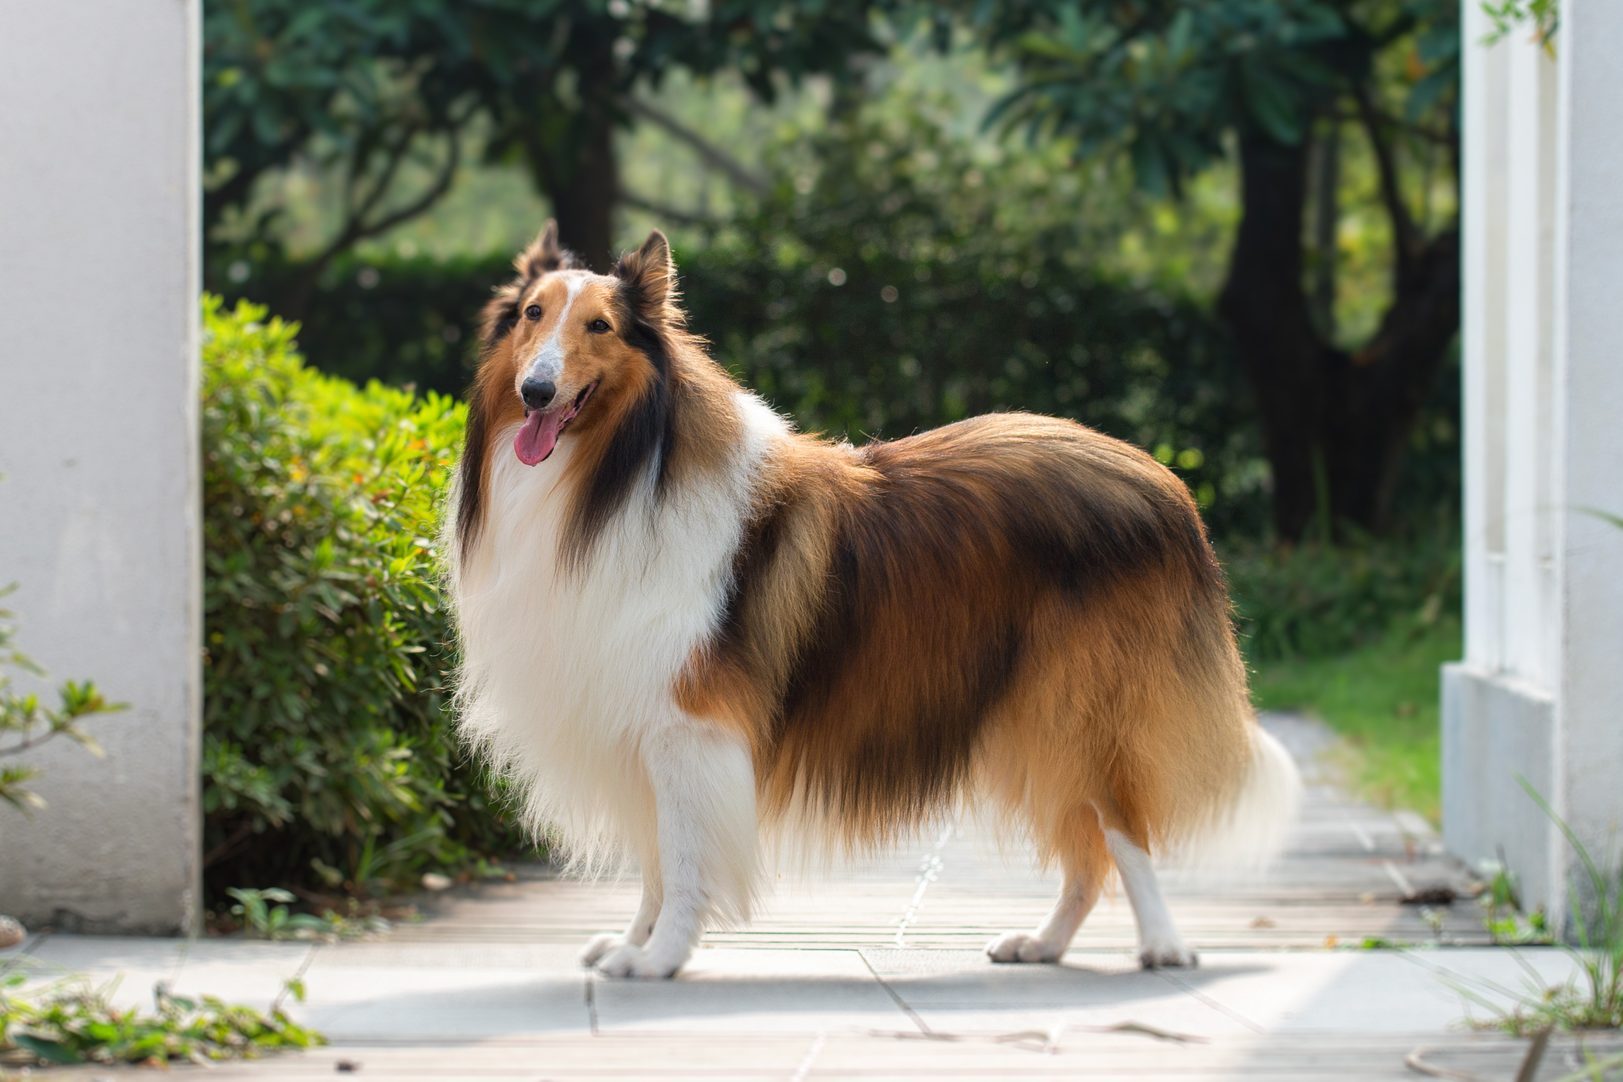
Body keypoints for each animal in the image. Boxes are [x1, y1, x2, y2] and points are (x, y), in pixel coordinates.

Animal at [447, 220, 1304, 979]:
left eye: (598, 325)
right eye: (531, 315)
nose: (536, 390)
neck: (614, 477)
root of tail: (1166, 482)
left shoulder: (689, 726)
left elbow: (685, 862)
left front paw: (658, 959)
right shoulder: (637, 722)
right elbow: (657, 863)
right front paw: (634, 944)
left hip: (1084, 707)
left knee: (1124, 830)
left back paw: (1163, 946)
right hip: (1032, 717)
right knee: (1085, 853)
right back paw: (1043, 944)